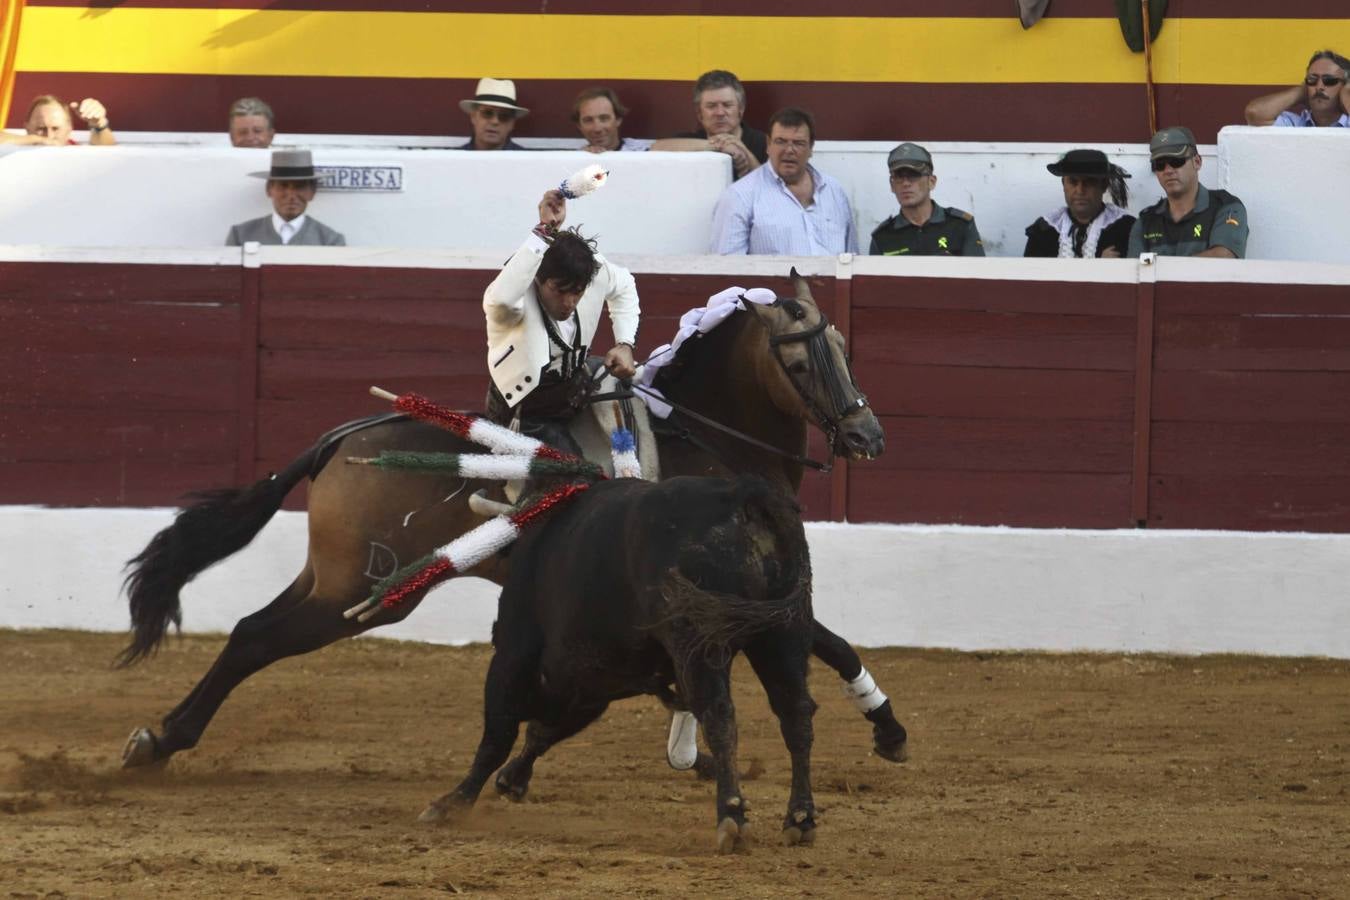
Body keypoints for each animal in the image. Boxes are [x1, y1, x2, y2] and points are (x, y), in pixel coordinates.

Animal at [124, 269, 907, 777]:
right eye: (801, 362)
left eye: (844, 346)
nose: (867, 435)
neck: (706, 439)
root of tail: (343, 439)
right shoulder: (736, 592)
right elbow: (825, 641)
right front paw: (886, 727)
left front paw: (693, 748)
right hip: (366, 591)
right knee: (259, 637)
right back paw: (159, 743)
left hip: (343, 580)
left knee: (249, 633)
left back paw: (161, 738)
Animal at [426, 474, 815, 858]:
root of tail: (746, 493)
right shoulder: (593, 682)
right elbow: (542, 731)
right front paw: (512, 779)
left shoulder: (513, 655)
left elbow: (499, 734)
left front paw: (452, 803)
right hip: (784, 633)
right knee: (795, 712)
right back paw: (800, 818)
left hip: (703, 642)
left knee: (720, 715)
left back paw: (731, 816)